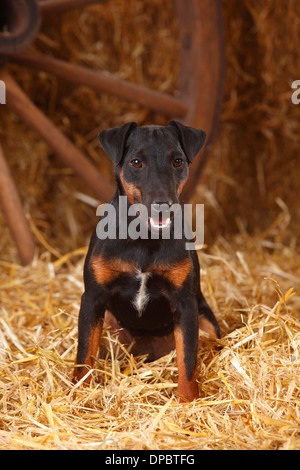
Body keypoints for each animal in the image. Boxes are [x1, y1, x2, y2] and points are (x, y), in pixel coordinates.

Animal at [72, 120, 218, 400]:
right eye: (136, 162)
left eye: (177, 161)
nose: (163, 205)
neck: (144, 237)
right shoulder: (93, 298)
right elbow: (84, 355)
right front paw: (78, 397)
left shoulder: (185, 303)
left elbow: (187, 360)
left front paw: (188, 401)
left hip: (207, 320)